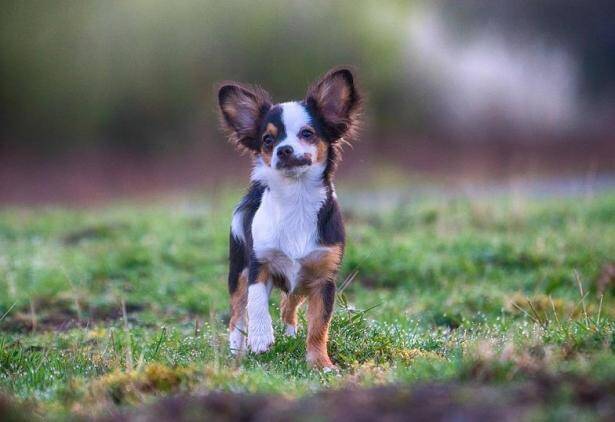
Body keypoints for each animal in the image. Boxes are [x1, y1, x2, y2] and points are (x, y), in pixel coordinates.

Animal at [219, 67, 360, 370]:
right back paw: (237, 348)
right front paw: (260, 338)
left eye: (307, 133)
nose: (283, 149)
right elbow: (257, 302)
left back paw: (290, 332)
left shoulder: (323, 280)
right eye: (267, 140)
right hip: (238, 270)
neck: (296, 199)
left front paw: (320, 363)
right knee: (237, 313)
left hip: (301, 280)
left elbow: (319, 326)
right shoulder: (258, 264)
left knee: (289, 303)